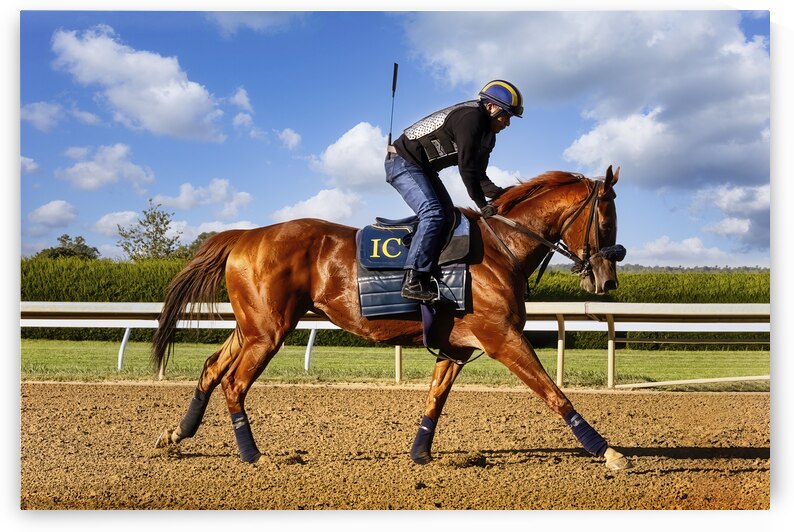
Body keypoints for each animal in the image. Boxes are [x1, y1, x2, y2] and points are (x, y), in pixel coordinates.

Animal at [153, 164, 631, 471]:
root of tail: (246, 235)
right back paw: (253, 455)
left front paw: (420, 453)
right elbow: (554, 393)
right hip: (269, 331)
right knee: (234, 382)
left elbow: (435, 399)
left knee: (211, 368)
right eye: (607, 219)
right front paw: (608, 452)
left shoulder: (458, 347)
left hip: (250, 327)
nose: (608, 279)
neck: (501, 248)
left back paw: (177, 435)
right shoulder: (502, 337)